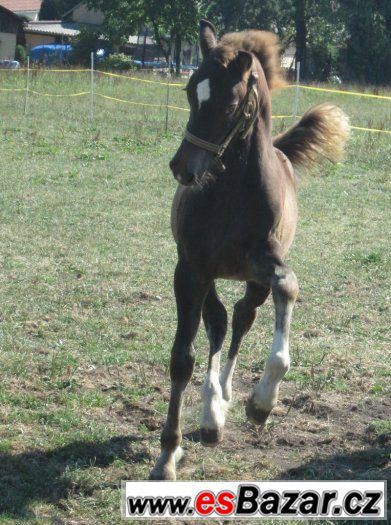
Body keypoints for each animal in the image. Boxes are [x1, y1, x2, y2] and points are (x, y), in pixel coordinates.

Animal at [149, 20, 350, 478]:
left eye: (231, 101)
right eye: (191, 90)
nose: (183, 168)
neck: (231, 190)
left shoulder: (265, 265)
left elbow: (288, 287)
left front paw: (261, 403)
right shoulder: (191, 270)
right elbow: (183, 358)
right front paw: (167, 456)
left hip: (250, 281)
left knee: (241, 318)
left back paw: (222, 400)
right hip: (210, 276)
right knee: (220, 322)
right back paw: (211, 416)